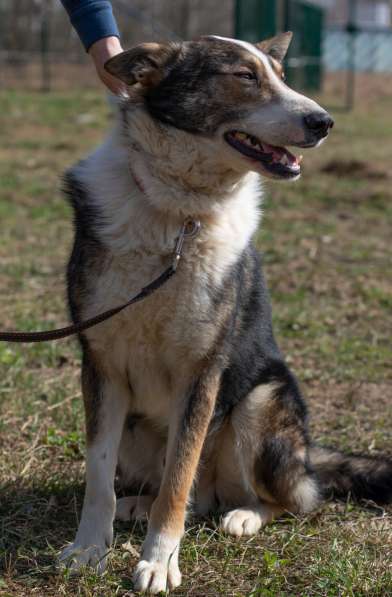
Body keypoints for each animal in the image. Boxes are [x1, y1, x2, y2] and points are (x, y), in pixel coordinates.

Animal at [59, 33, 392, 592]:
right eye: (245, 77)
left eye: (282, 76)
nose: (324, 122)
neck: (178, 215)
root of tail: (309, 455)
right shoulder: (101, 367)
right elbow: (99, 476)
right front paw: (89, 548)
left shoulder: (201, 374)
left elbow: (178, 480)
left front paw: (158, 562)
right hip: (136, 428)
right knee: (193, 496)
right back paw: (136, 504)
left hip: (259, 405)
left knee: (291, 501)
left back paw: (244, 515)